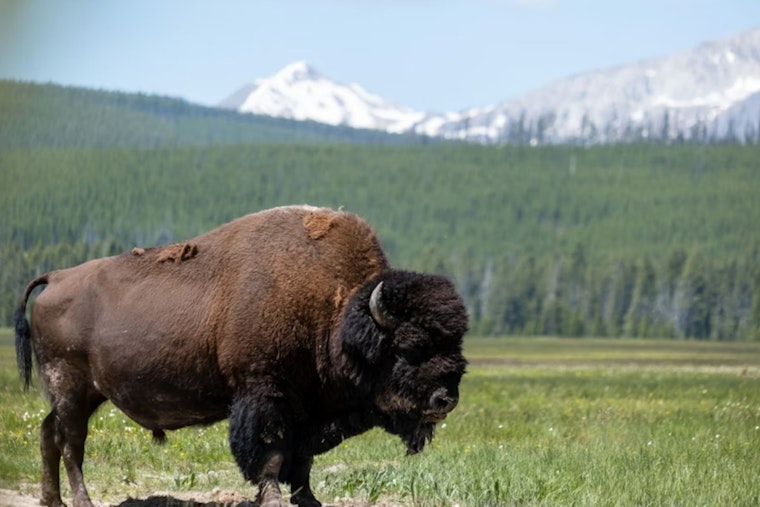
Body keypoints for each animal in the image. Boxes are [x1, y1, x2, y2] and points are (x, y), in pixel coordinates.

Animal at [14, 205, 468, 507]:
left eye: (456, 345)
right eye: (408, 347)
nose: (444, 399)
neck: (334, 314)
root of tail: (57, 277)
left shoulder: (310, 408)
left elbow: (302, 459)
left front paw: (309, 500)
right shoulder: (263, 394)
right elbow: (271, 454)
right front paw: (272, 499)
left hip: (85, 393)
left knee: (48, 433)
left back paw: (52, 501)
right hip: (69, 385)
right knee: (71, 442)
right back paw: (82, 501)